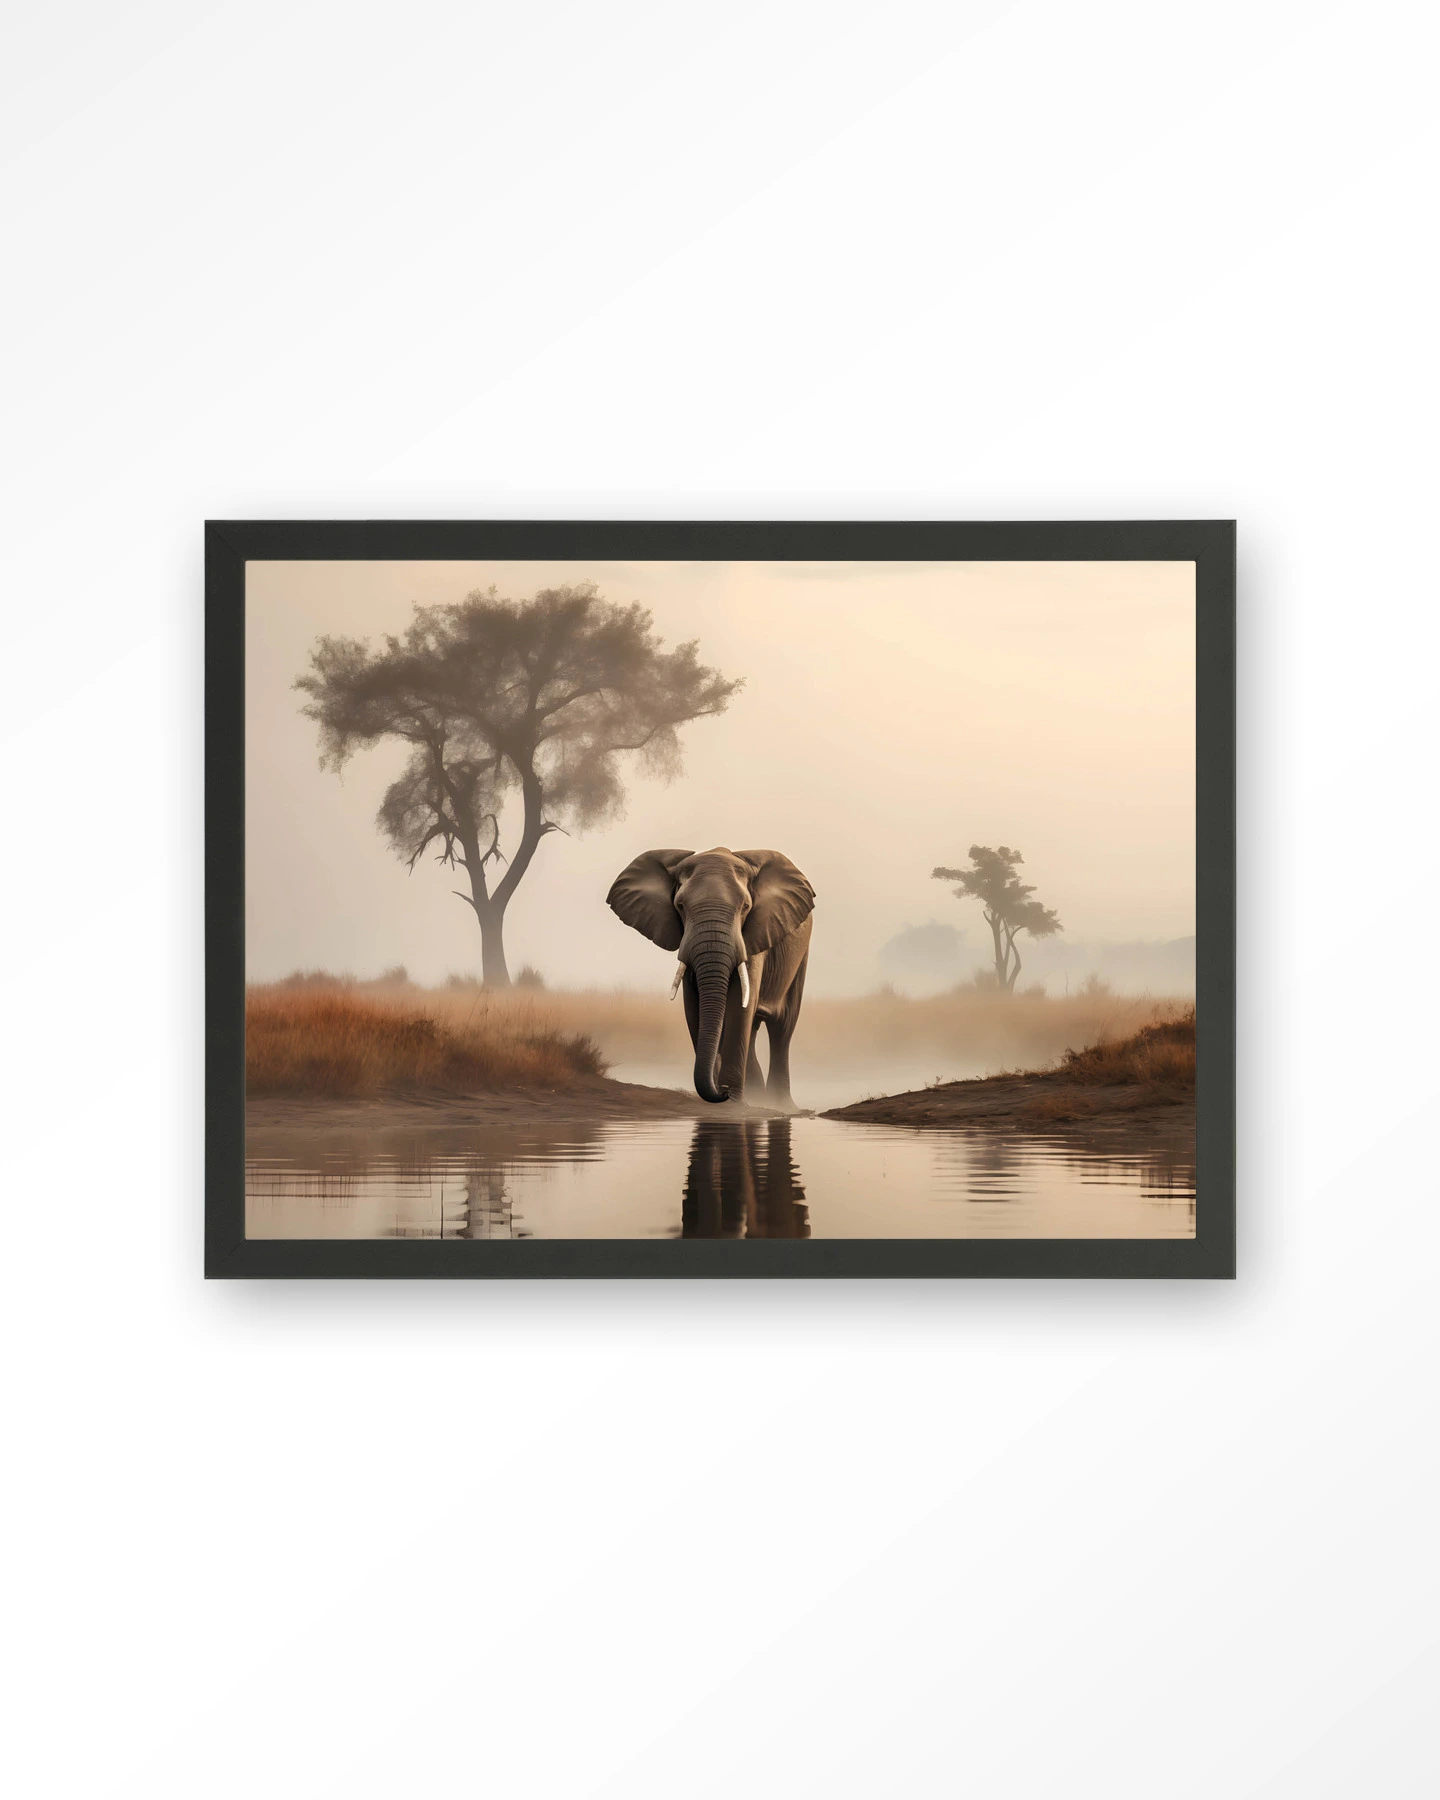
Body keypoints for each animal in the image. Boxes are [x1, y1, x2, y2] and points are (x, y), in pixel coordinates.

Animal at [607, 847, 814, 1107]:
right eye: (680, 906)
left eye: (746, 906)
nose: (721, 1091)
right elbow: (693, 1006)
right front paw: (726, 1097)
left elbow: (739, 1006)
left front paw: (733, 1103)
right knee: (754, 1029)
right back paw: (757, 1097)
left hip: (801, 953)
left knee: (782, 1027)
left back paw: (780, 1105)